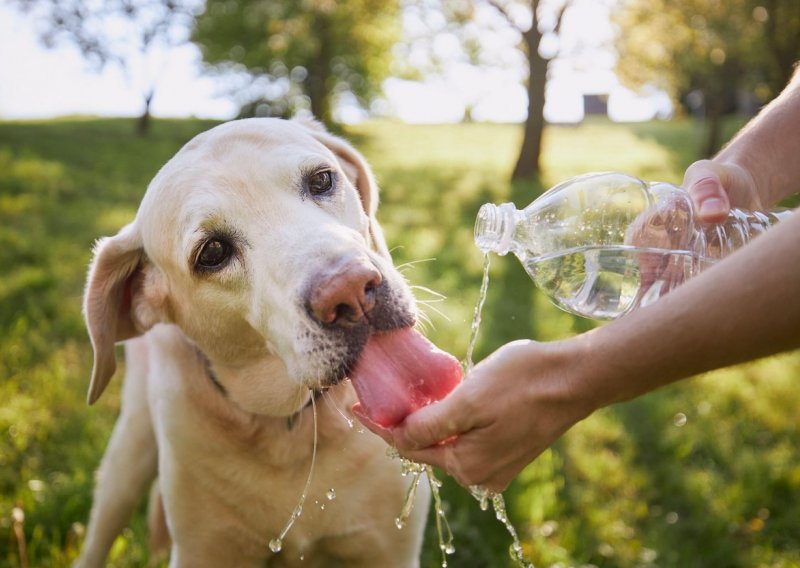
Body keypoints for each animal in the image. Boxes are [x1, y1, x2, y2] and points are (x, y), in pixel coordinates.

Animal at [76, 117, 432, 564]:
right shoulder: (202, 552)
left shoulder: (389, 550)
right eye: (212, 252)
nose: (350, 290)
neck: (291, 427)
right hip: (129, 454)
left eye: (322, 180)